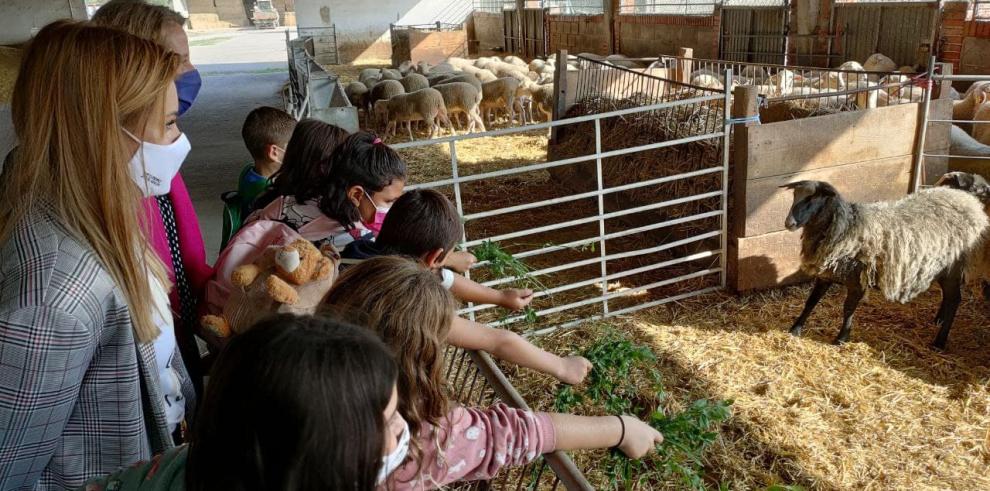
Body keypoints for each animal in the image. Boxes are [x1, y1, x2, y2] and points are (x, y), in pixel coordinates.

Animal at [784, 181, 990, 350]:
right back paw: (938, 320)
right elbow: (811, 302)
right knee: (948, 297)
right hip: (940, 268)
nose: (789, 223)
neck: (846, 227)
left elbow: (848, 309)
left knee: (954, 300)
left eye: (812, 198)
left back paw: (939, 342)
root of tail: (968, 201)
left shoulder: (858, 280)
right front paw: (795, 329)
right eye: (795, 195)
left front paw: (841, 338)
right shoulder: (826, 275)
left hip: (953, 269)